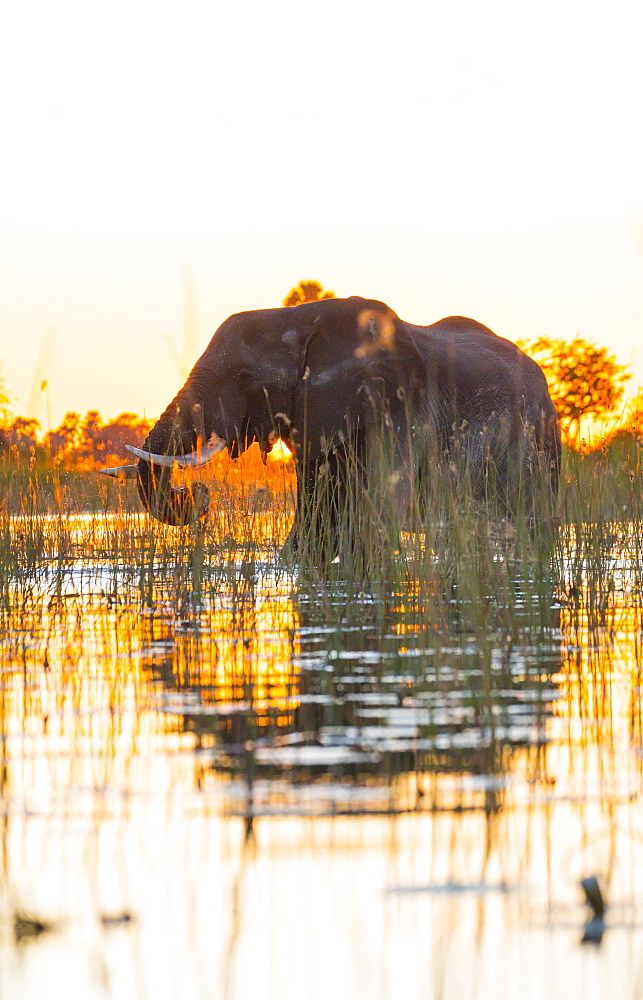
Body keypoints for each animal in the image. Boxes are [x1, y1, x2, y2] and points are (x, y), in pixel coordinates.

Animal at [100, 292, 560, 552]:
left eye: (245, 377)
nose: (193, 492)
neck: (298, 317)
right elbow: (314, 520)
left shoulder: (398, 409)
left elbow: (378, 513)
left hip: (535, 432)